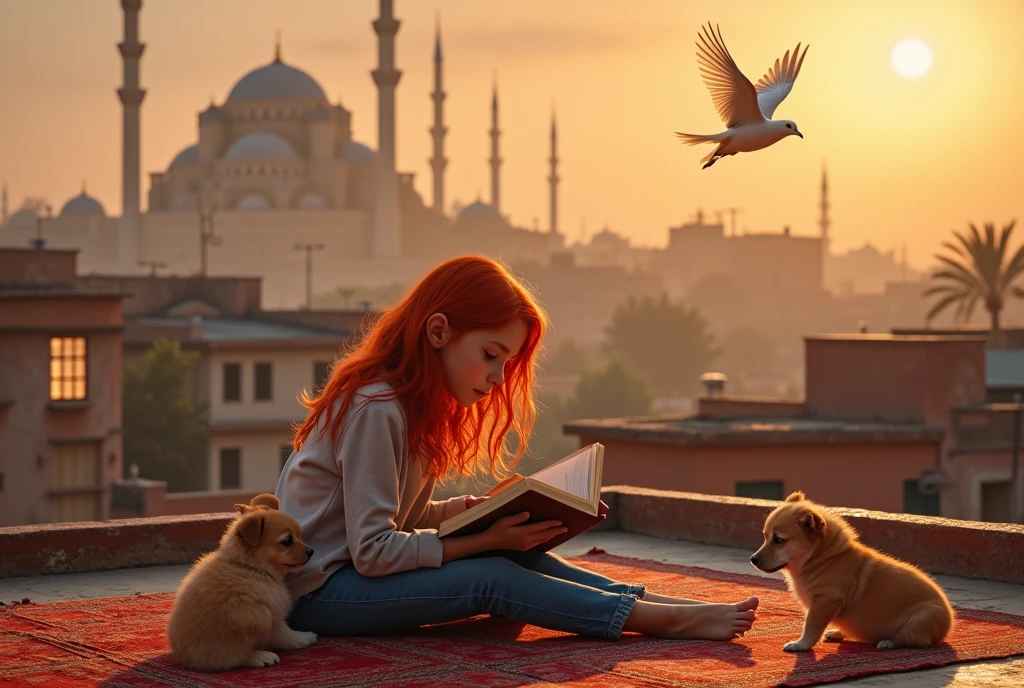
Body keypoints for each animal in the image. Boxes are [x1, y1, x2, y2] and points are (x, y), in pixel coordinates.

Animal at [165, 495, 317, 671]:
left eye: (300, 536)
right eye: (287, 541)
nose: (311, 551)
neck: (250, 566)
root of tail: (187, 659)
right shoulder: (274, 615)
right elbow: (287, 635)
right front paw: (305, 637)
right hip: (258, 616)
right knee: (233, 657)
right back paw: (260, 656)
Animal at [749, 489, 954, 651]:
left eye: (778, 540)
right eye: (765, 537)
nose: (753, 559)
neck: (822, 558)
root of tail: (949, 621)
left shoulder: (825, 601)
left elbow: (811, 626)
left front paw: (800, 645)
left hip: (919, 621)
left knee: (912, 640)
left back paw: (888, 642)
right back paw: (838, 633)